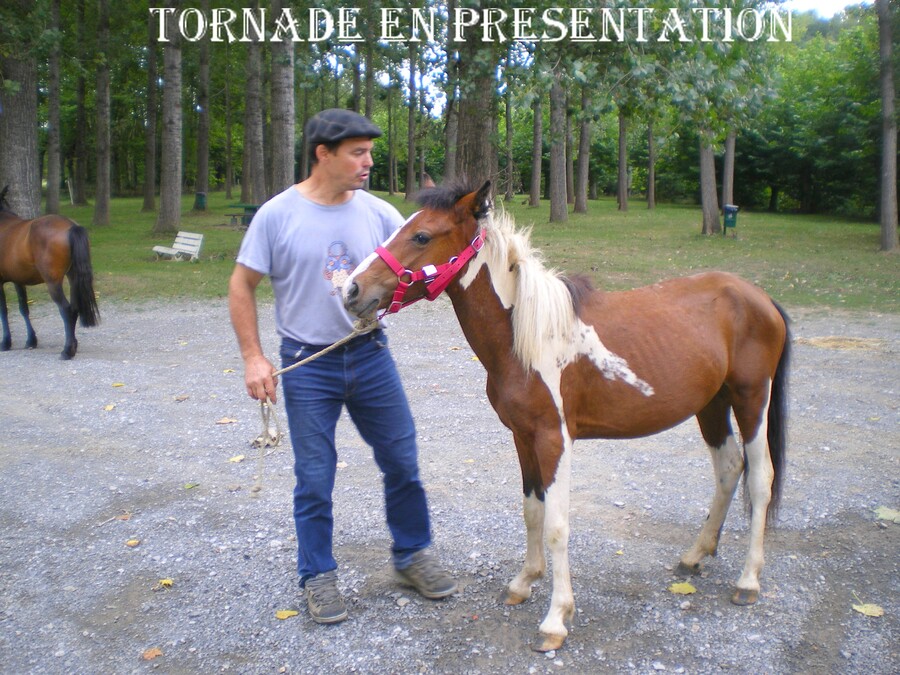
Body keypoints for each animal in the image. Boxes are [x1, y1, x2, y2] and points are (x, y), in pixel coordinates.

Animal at [0, 186, 99, 360]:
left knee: (66, 309)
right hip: (73, 278)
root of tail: (70, 226)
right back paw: (73, 344)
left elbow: (3, 311)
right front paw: (31, 340)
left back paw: (67, 351)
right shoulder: (18, 280)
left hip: (53, 282)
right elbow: (23, 308)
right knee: (74, 308)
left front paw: (5, 342)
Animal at [344, 180, 788, 648]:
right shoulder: (522, 437)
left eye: (422, 236)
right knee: (729, 468)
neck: (526, 337)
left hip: (751, 399)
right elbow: (532, 511)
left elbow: (557, 526)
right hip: (712, 405)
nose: (352, 290)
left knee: (760, 479)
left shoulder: (554, 439)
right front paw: (523, 582)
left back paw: (748, 581)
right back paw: (695, 556)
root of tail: (761, 297)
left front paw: (556, 618)